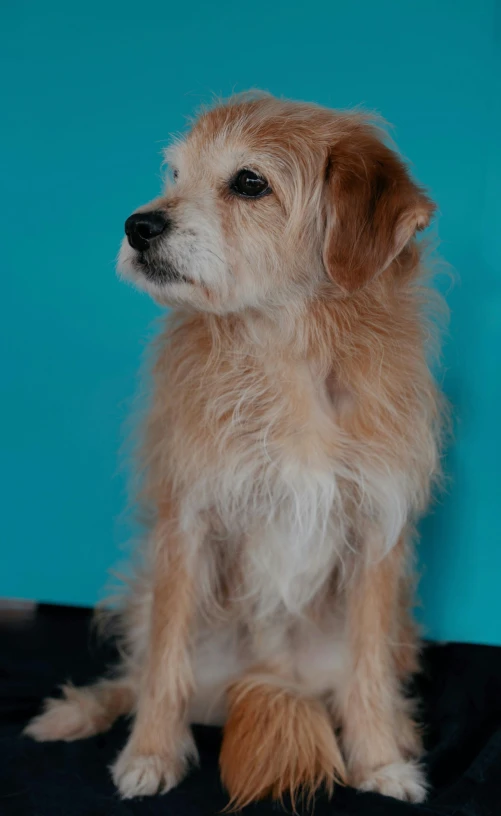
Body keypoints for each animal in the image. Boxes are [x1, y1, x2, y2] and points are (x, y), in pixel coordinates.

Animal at [25, 92, 444, 808]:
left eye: (250, 182)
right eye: (173, 173)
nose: (137, 225)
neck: (286, 348)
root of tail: (271, 676)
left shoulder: (375, 536)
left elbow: (366, 673)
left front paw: (380, 760)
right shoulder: (187, 523)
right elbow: (163, 664)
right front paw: (151, 752)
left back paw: (399, 731)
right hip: (149, 594)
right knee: (136, 671)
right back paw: (79, 712)